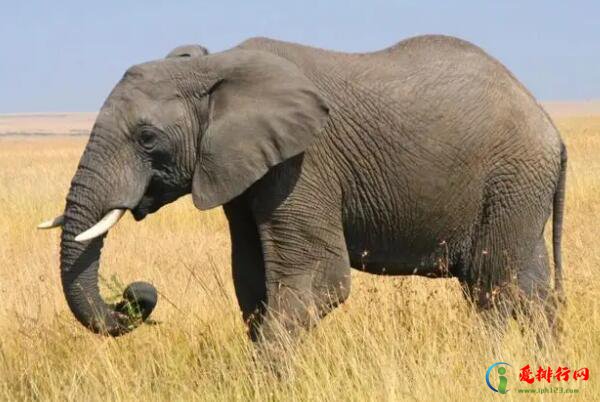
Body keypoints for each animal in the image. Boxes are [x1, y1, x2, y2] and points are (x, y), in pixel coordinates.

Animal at [39, 35, 564, 342]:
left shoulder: (303, 163)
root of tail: (551, 129)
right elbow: (252, 282)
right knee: (526, 288)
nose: (138, 292)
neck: (216, 68)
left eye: (147, 138)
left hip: (511, 179)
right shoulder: (243, 170)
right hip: (518, 190)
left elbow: (318, 279)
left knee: (496, 286)